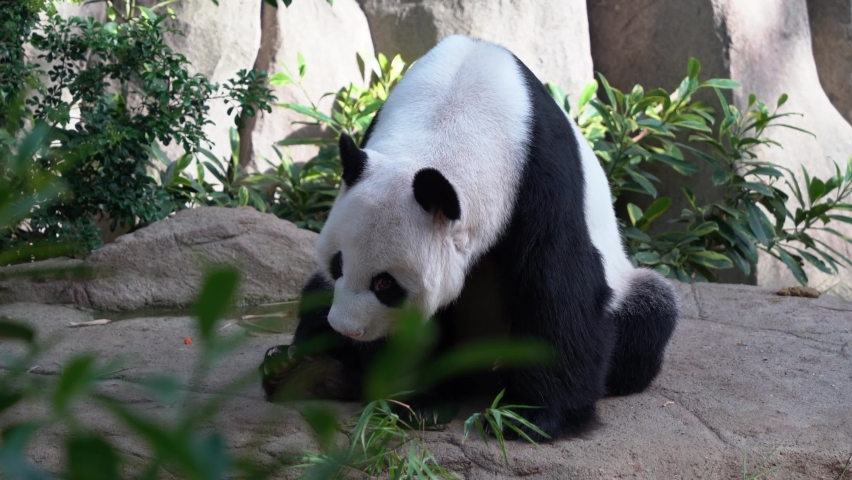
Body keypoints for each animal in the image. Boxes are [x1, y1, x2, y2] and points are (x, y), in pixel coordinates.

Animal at [260, 34, 679, 441]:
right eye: (338, 264)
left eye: (385, 284)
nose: (348, 329)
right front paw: (416, 400)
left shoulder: (543, 176)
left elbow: (556, 286)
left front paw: (527, 418)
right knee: (314, 299)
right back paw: (301, 369)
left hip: (628, 289)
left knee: (649, 317)